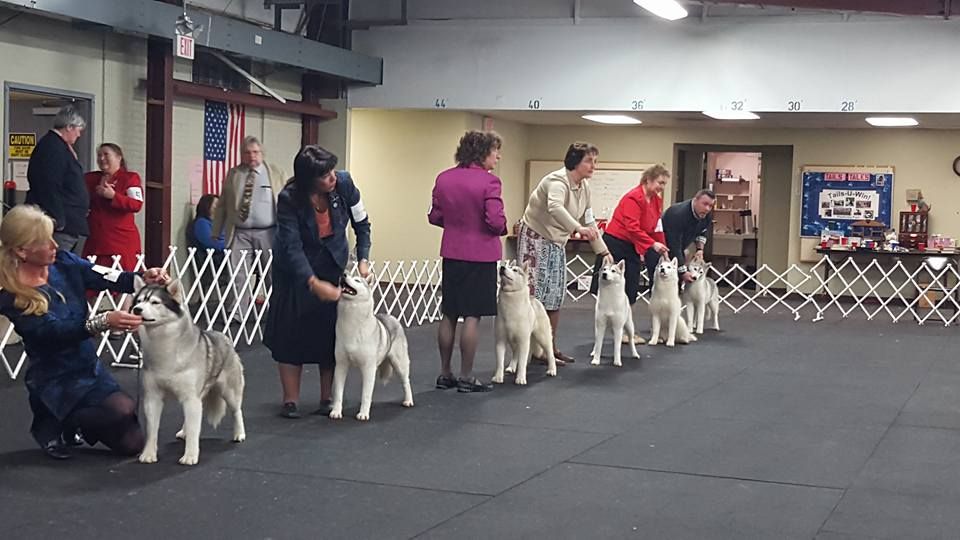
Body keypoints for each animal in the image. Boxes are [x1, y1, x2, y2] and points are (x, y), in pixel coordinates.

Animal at [130, 278, 244, 464]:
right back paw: (183, 431)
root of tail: (224, 336)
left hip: (229, 391)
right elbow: (152, 430)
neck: (164, 347)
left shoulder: (191, 398)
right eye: (138, 301)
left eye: (155, 302)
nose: (136, 310)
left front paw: (190, 456)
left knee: (236, 411)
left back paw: (239, 433)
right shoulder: (153, 397)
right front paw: (148, 454)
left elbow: (194, 430)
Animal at [330, 274, 412, 422]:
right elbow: (338, 393)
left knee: (406, 382)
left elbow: (366, 394)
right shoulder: (341, 366)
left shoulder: (368, 368)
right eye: (349, 274)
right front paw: (336, 412)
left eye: (357, 280)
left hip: (399, 364)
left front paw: (363, 414)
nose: (343, 275)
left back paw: (408, 401)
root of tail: (392, 317)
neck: (352, 322)